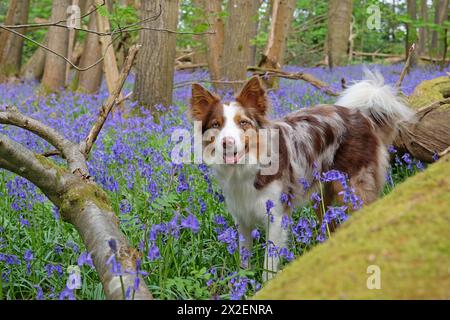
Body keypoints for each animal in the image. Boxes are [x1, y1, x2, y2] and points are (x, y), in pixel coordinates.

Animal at [188, 69, 414, 280]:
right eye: (216, 124)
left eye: (243, 123)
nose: (227, 143)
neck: (245, 168)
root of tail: (362, 115)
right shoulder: (242, 219)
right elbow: (244, 261)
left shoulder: (276, 217)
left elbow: (269, 264)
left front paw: (266, 285)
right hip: (322, 197)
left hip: (353, 189)